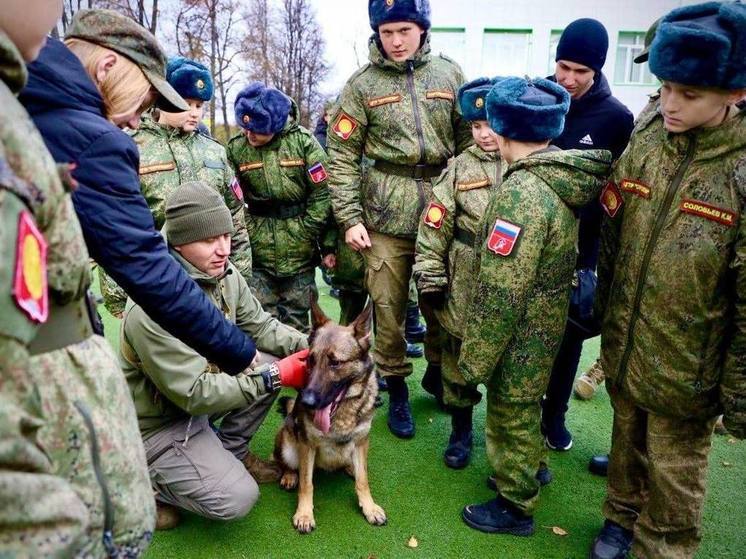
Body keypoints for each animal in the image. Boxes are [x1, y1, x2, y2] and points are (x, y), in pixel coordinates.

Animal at [274, 300, 390, 536]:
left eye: (335, 363)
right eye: (310, 359)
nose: (306, 401)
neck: (343, 412)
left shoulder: (361, 441)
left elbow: (363, 480)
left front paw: (369, 507)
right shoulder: (307, 446)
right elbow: (307, 484)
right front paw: (304, 514)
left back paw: (349, 467)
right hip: (288, 443)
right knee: (288, 464)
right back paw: (290, 475)